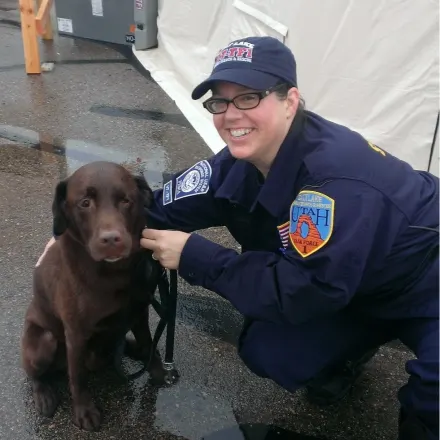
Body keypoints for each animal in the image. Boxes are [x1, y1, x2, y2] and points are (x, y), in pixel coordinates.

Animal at [19, 161, 167, 430]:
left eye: (126, 200)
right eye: (85, 203)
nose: (111, 239)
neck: (115, 273)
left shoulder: (140, 312)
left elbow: (149, 343)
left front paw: (159, 373)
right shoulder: (76, 332)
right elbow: (78, 377)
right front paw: (84, 411)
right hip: (42, 341)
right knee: (36, 374)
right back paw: (44, 395)